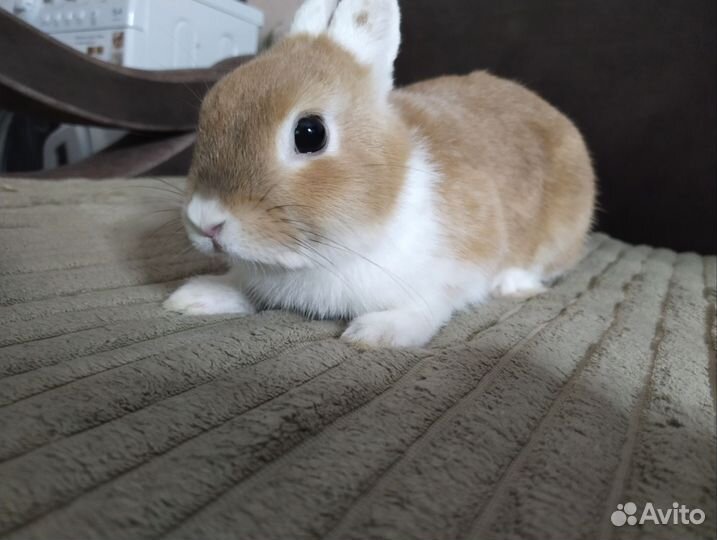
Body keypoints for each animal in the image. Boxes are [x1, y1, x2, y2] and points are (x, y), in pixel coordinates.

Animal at [163, 0, 596, 348]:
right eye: (208, 111)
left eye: (310, 133)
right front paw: (197, 296)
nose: (205, 221)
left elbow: (432, 305)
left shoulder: (461, 263)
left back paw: (512, 283)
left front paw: (378, 332)